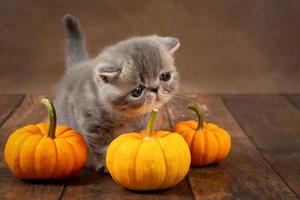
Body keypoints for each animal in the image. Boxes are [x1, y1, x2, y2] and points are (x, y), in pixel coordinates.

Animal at [54, 15, 179, 172]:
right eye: (137, 91)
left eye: (165, 76)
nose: (156, 88)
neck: (125, 116)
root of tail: (76, 66)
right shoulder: (92, 127)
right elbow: (101, 148)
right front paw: (105, 164)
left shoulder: (141, 125)